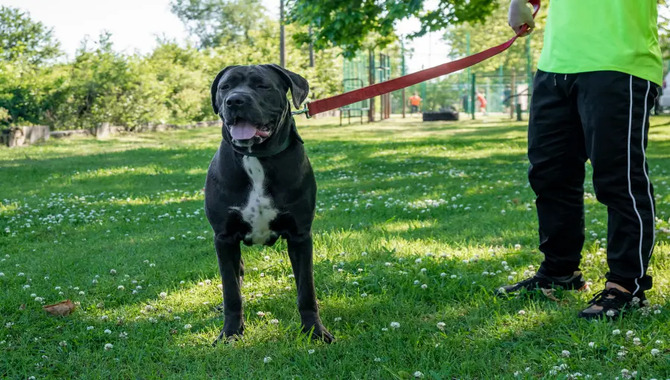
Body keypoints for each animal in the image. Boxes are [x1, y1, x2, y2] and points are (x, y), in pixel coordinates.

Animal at [203, 63, 332, 342]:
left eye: (262, 86)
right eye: (225, 87)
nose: (235, 100)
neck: (256, 158)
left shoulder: (300, 236)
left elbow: (307, 290)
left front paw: (314, 330)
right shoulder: (224, 238)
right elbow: (231, 293)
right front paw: (230, 332)